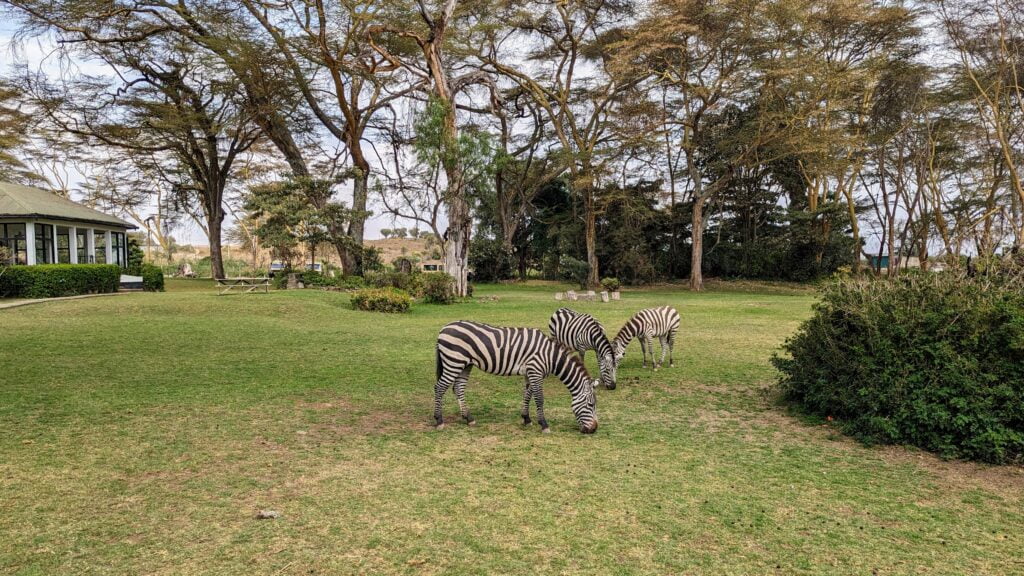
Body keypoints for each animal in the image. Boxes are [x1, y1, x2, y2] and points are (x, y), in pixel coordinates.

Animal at [434, 317, 598, 430]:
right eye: (591, 404)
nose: (594, 429)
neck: (550, 356)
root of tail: (444, 328)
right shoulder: (535, 371)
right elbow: (539, 398)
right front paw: (544, 424)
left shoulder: (531, 373)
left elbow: (528, 395)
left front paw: (526, 418)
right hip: (454, 362)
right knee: (439, 388)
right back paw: (439, 420)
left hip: (465, 364)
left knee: (458, 388)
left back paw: (468, 418)